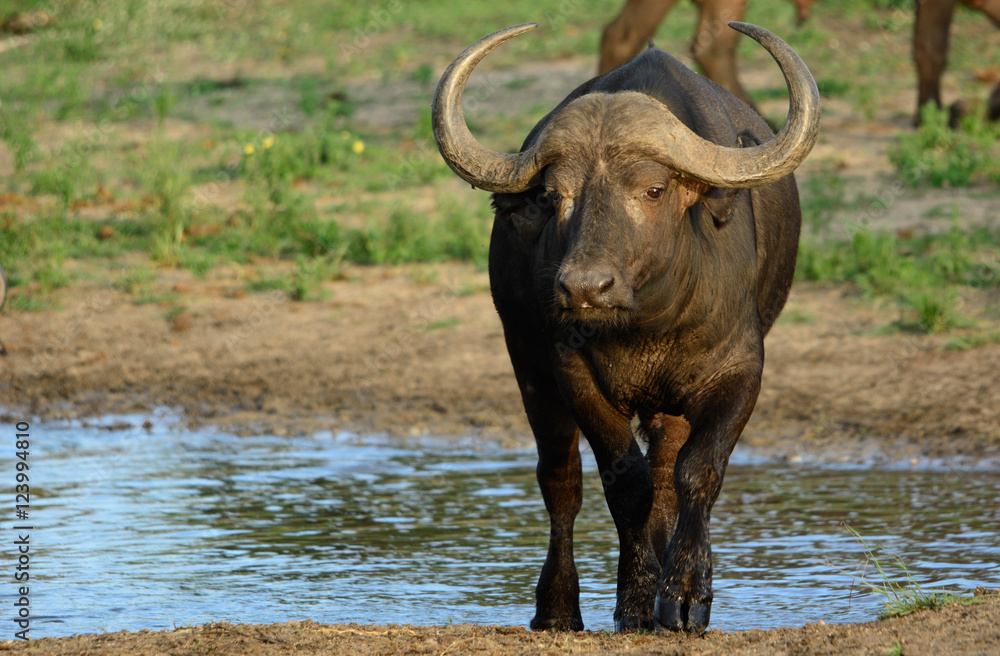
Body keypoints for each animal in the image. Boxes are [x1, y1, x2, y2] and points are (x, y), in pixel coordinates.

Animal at [432, 22, 819, 633]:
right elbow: (625, 484)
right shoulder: (572, 376)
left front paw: (683, 595)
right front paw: (637, 599)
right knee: (561, 480)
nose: (585, 288)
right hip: (527, 365)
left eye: (653, 190)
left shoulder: (740, 372)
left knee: (666, 471)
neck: (646, 326)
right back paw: (557, 608)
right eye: (553, 196)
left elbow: (697, 472)